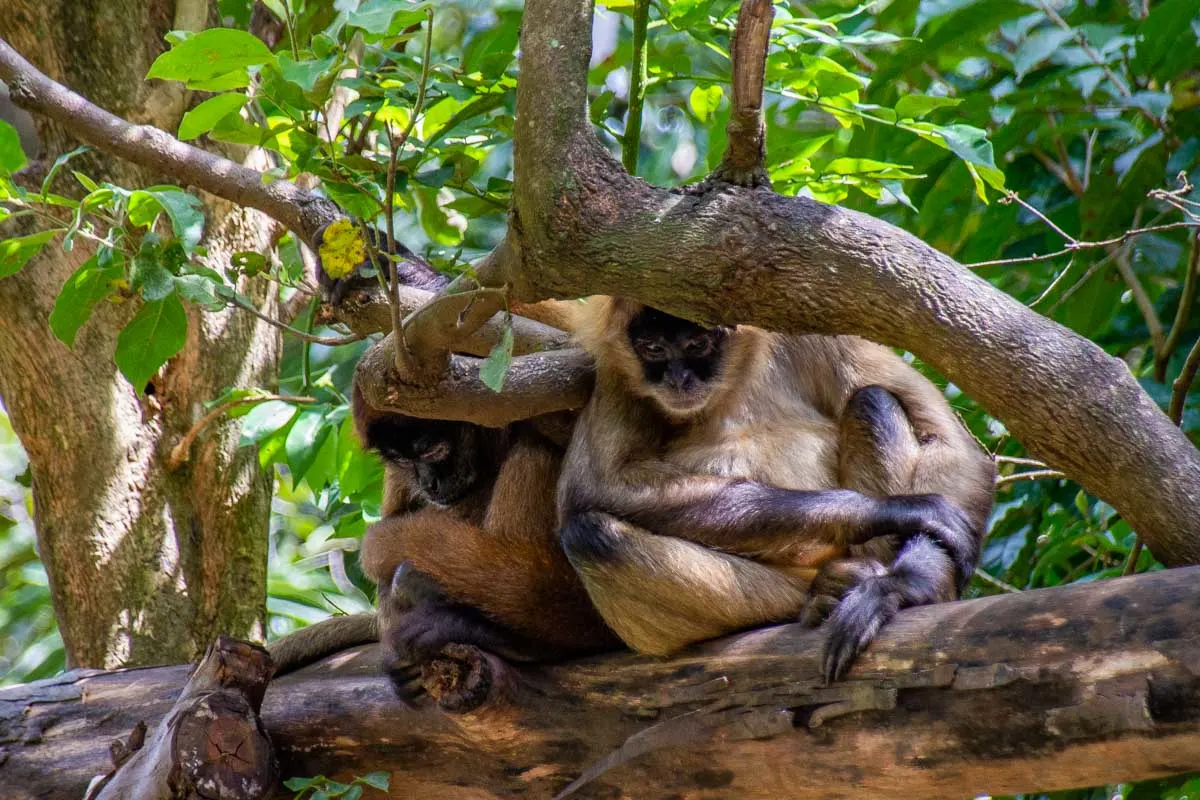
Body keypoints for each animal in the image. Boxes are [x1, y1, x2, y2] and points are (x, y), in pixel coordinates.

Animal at [559, 299, 993, 681]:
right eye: (653, 349)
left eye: (697, 345)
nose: (678, 379)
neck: (732, 383)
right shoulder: (616, 372)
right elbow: (597, 488)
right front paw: (889, 511)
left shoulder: (815, 331)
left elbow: (947, 442)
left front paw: (901, 587)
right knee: (590, 535)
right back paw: (822, 596)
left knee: (873, 399)